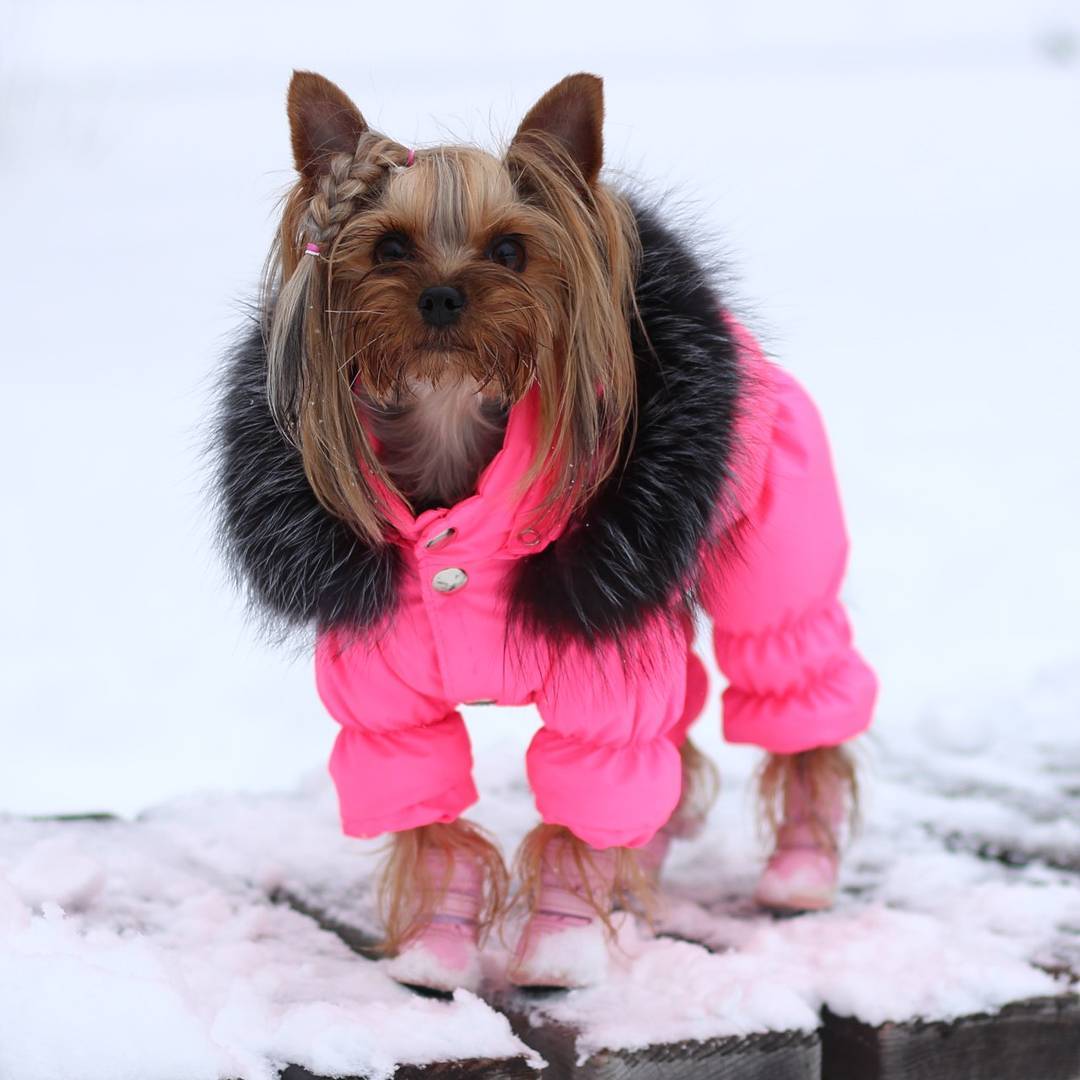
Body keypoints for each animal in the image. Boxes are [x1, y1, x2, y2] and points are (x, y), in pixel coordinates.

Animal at [217, 71, 876, 989]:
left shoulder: (601, 685)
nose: (443, 295)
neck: (453, 417)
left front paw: (562, 944)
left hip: (771, 554)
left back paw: (802, 865)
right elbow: (426, 810)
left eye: (509, 251)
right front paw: (436, 947)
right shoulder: (384, 701)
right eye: (388, 249)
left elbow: (586, 798)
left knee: (793, 680)